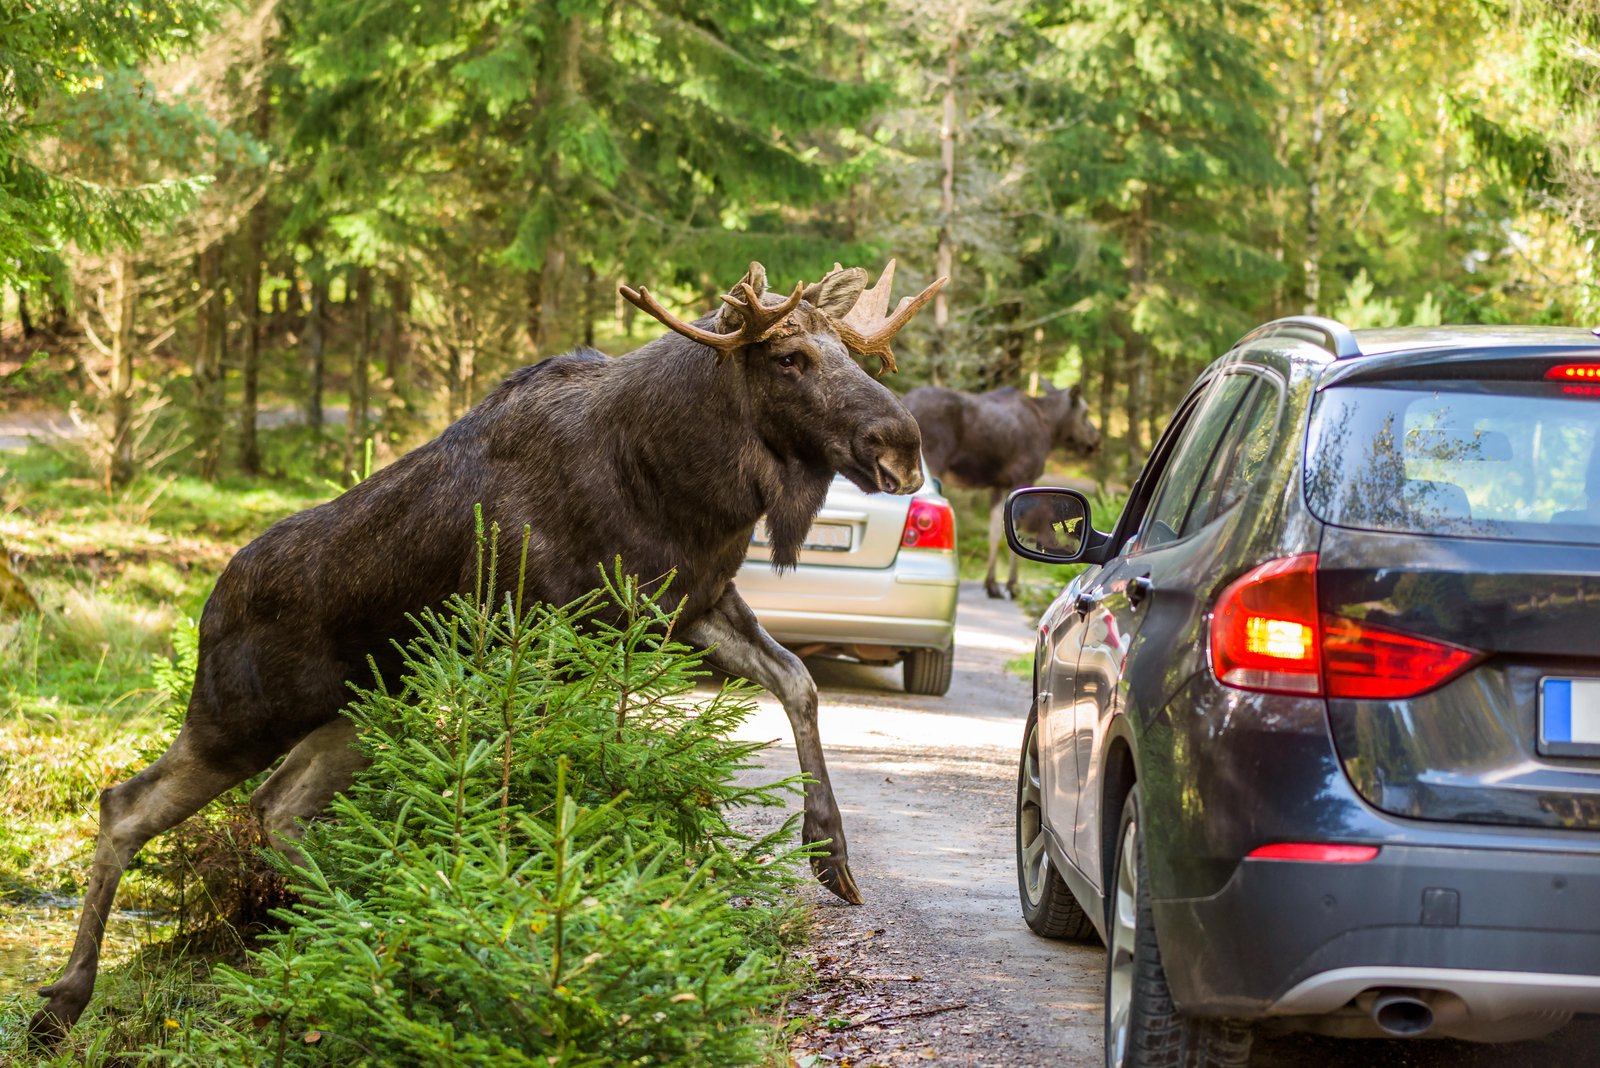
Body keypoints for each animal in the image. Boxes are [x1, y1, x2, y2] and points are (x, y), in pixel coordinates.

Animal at [31, 259, 940, 1042]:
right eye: (789, 356)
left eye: (851, 353)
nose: (901, 445)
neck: (681, 484)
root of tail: (207, 608)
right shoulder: (549, 633)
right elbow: (545, 775)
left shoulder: (693, 606)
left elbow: (798, 683)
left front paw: (829, 852)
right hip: (241, 715)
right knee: (127, 805)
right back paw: (66, 1002)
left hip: (357, 715)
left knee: (275, 807)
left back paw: (371, 911)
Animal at [902, 383, 1100, 601]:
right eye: (1085, 412)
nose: (1095, 441)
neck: (1050, 427)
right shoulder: (1023, 478)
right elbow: (1021, 532)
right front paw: (1012, 585)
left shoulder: (999, 485)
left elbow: (996, 531)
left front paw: (992, 584)